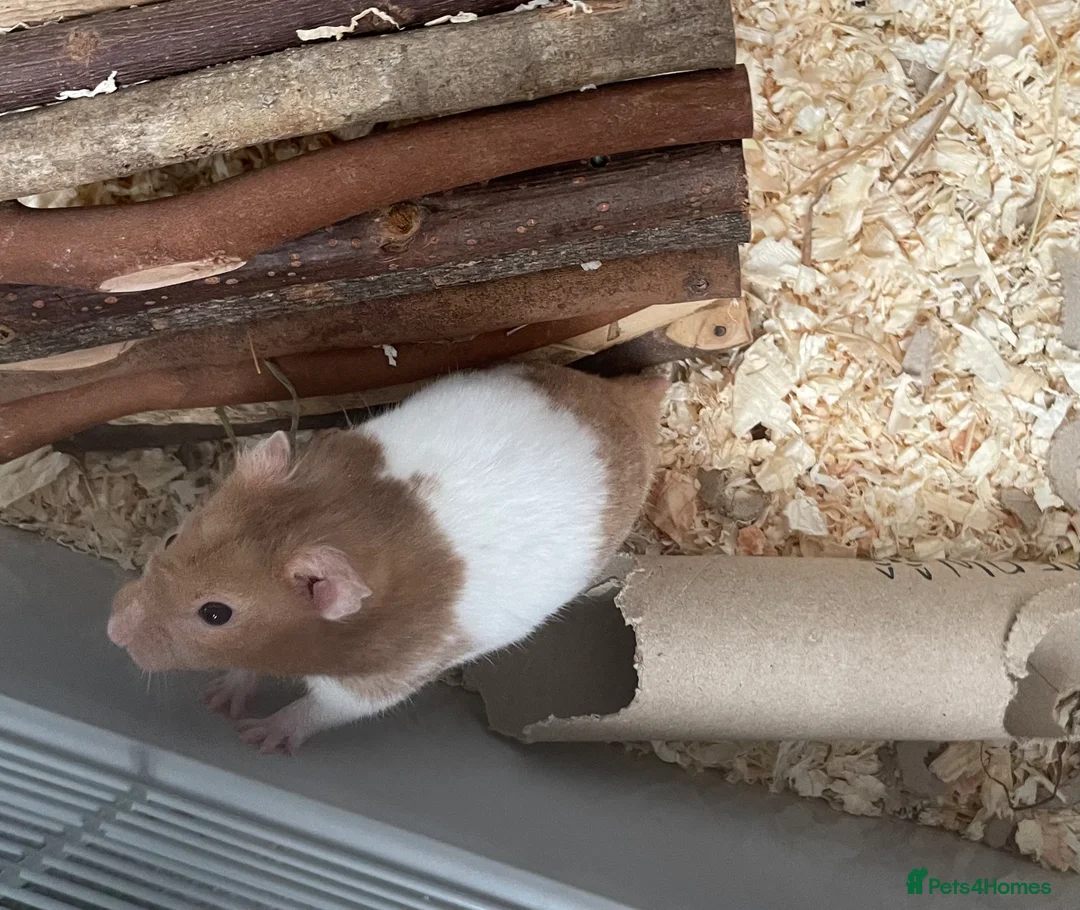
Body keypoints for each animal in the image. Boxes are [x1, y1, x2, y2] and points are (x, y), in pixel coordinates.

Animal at [108, 362, 667, 753]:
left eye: (215, 614)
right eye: (171, 539)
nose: (112, 631)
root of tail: (628, 400)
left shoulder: (378, 683)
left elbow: (317, 709)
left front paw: (256, 737)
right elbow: (247, 669)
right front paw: (218, 700)